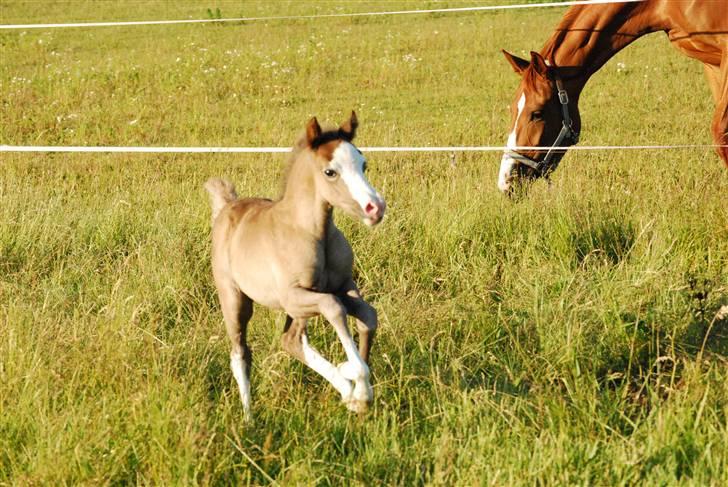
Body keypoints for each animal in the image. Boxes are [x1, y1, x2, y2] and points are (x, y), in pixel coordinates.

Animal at [204, 112, 385, 419]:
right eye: (330, 172)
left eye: (363, 164)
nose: (375, 208)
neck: (311, 232)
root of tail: (227, 206)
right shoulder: (295, 296)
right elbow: (334, 309)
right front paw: (358, 385)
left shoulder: (343, 287)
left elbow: (368, 316)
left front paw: (357, 388)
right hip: (235, 299)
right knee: (241, 353)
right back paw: (249, 417)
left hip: (295, 309)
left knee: (291, 340)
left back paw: (344, 387)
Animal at [497, 0, 728, 193]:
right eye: (512, 109)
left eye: (537, 113)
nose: (506, 180)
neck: (662, 5)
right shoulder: (712, 64)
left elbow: (720, 135)